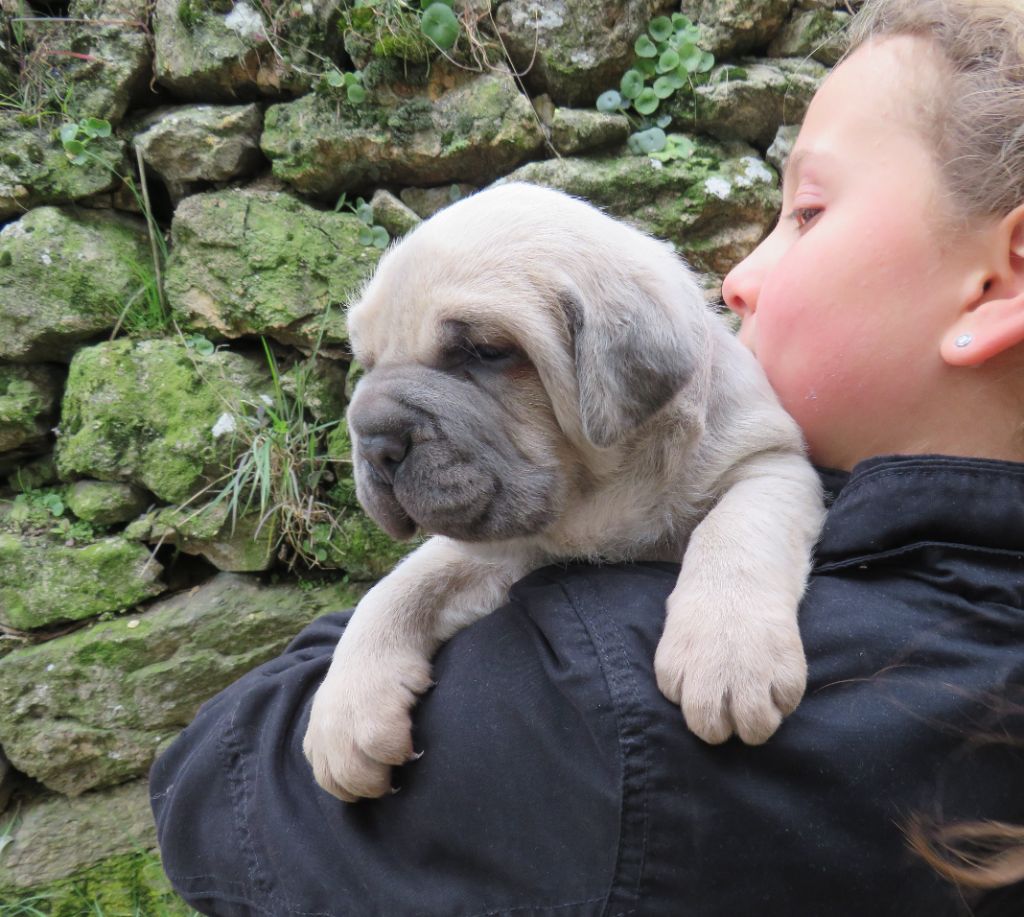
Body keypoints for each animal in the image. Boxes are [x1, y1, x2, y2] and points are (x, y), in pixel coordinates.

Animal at [301, 182, 823, 798]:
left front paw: (728, 652)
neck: (598, 498)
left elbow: (734, 532)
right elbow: (401, 587)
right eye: (367, 362)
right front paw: (343, 713)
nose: (374, 440)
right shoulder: (503, 549)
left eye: (485, 352)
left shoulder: (772, 464)